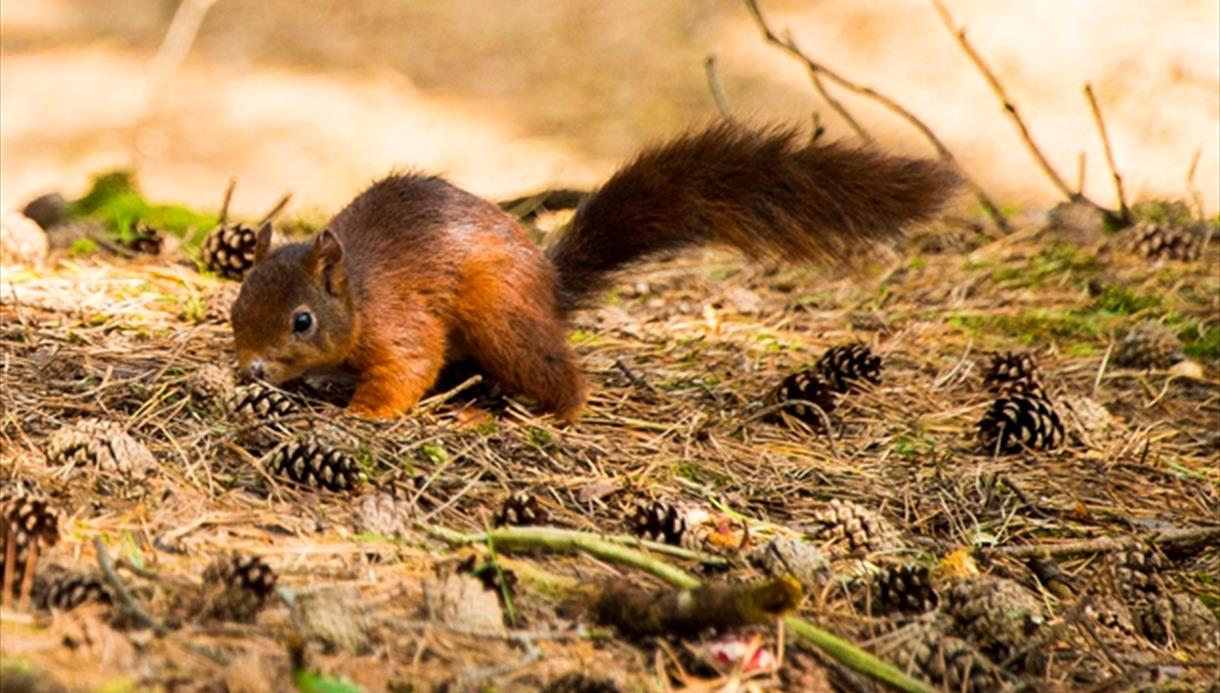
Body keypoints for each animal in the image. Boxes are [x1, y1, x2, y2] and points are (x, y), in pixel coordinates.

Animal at [230, 122, 960, 421]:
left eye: (302, 320)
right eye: (236, 308)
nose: (251, 369)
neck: (356, 292)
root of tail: (548, 288)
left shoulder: (401, 323)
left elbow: (408, 367)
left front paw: (365, 412)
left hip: (500, 319)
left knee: (556, 373)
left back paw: (546, 414)